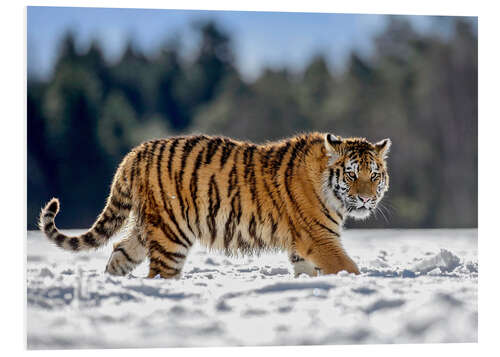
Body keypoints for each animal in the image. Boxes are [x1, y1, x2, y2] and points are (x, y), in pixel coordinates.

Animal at [39, 132, 390, 276]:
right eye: (351, 173)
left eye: (374, 175)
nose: (365, 198)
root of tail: (134, 153)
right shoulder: (320, 239)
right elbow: (349, 267)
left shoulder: (301, 247)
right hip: (171, 234)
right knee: (159, 273)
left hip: (145, 229)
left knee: (119, 252)